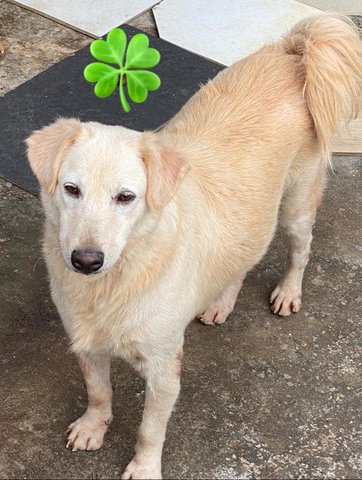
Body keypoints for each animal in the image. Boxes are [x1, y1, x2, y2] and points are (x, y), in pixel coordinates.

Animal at [26, 13, 362, 478]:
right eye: (71, 189)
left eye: (126, 197)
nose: (86, 261)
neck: (120, 276)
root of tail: (294, 53)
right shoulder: (88, 344)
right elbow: (98, 392)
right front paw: (94, 426)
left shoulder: (165, 367)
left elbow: (149, 430)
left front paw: (144, 469)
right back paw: (221, 302)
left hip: (296, 206)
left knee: (301, 249)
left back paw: (289, 292)